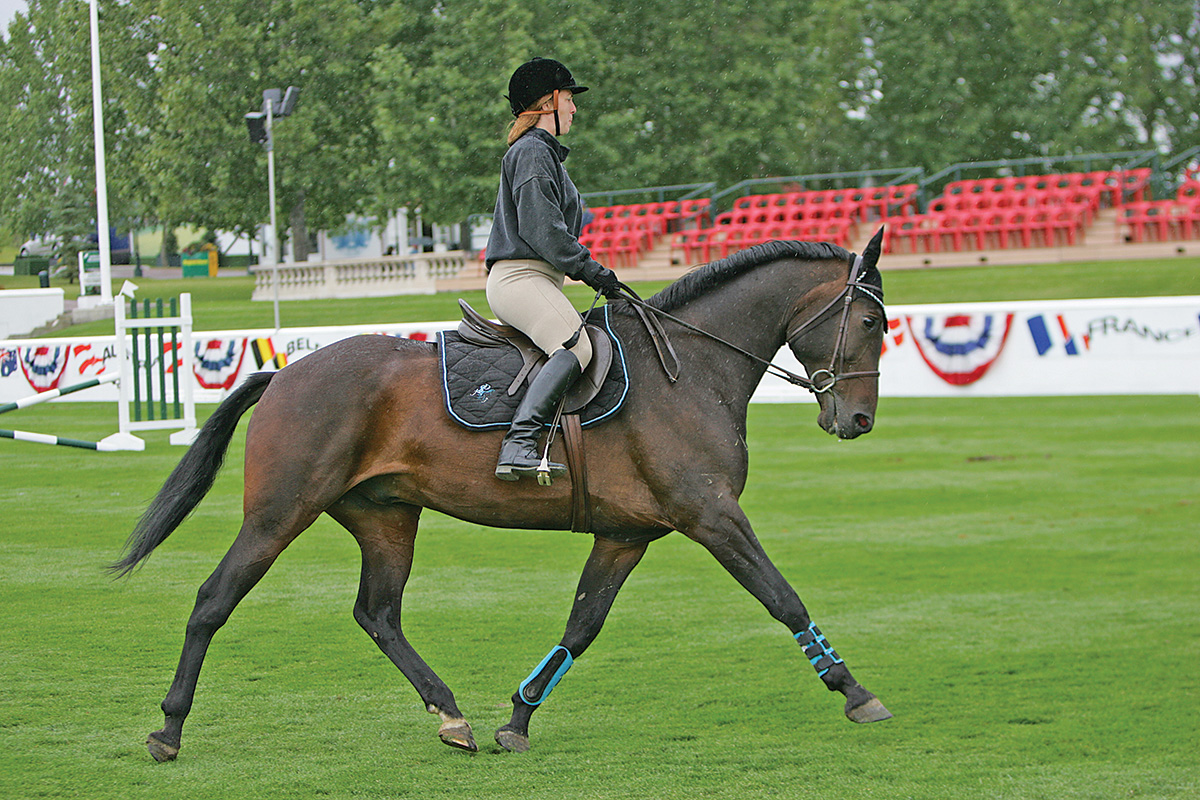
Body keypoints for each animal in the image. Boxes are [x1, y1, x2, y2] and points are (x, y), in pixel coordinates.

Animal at [114, 227, 892, 762]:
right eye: (871, 322)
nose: (857, 422)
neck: (690, 368)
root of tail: (284, 372)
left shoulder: (627, 535)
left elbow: (582, 625)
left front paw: (517, 718)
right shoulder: (713, 517)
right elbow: (783, 598)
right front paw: (854, 691)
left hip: (386, 518)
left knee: (378, 614)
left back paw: (450, 714)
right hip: (279, 514)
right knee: (214, 600)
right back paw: (169, 728)